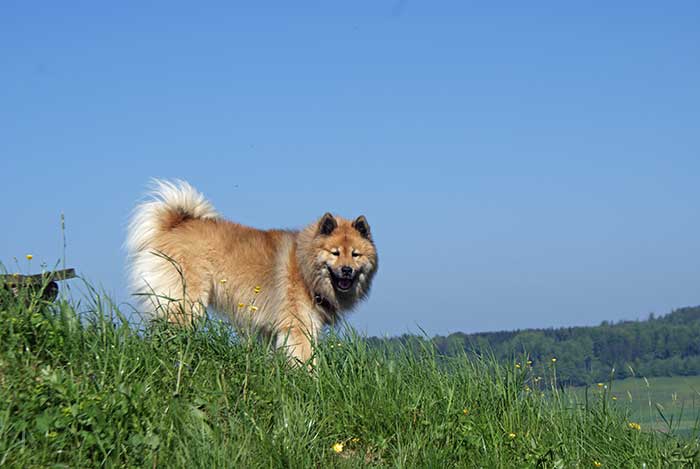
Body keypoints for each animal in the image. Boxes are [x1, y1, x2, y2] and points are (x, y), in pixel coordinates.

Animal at [126, 179, 378, 362]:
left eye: (355, 254)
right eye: (335, 253)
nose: (346, 270)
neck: (305, 268)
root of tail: (173, 225)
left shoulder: (276, 331)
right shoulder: (299, 327)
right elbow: (307, 361)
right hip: (186, 302)